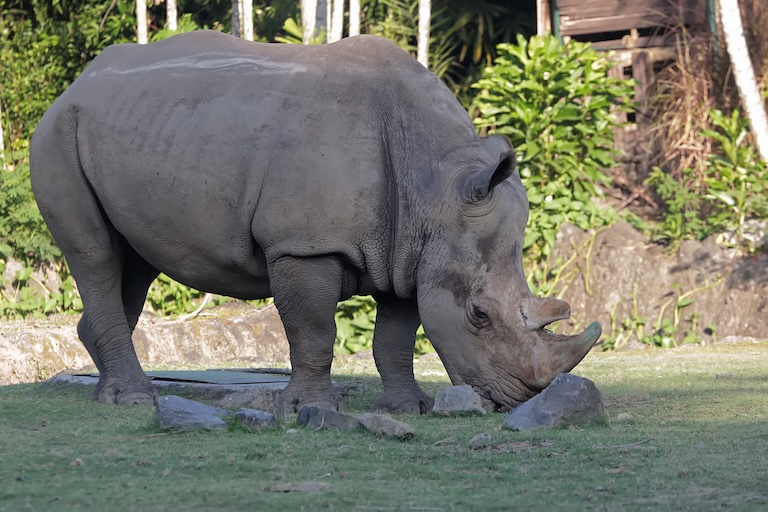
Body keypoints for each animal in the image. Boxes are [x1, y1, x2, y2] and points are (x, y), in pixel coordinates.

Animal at [30, 31, 600, 413]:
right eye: (479, 315)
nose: (518, 400)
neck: (434, 183)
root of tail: (72, 87)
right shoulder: (303, 244)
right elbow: (315, 329)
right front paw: (313, 411)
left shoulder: (409, 253)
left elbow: (396, 335)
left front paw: (407, 408)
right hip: (58, 133)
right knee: (96, 254)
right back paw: (133, 400)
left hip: (143, 129)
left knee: (134, 263)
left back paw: (107, 394)